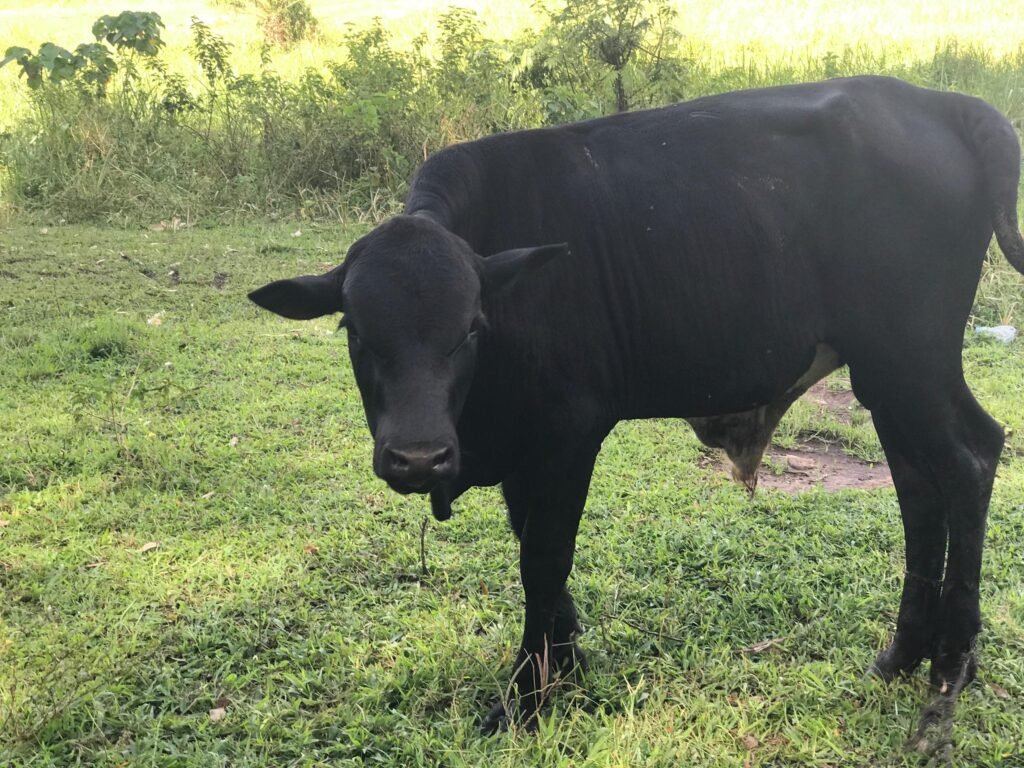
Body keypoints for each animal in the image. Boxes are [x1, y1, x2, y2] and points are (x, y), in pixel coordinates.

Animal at [249, 76, 1024, 758]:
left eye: (470, 327)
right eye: (354, 329)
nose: (418, 457)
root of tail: (944, 104)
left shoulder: (570, 433)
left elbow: (543, 559)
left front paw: (526, 697)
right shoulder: (525, 451)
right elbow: (534, 551)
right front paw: (566, 664)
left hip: (911, 359)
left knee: (970, 459)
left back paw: (949, 672)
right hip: (887, 376)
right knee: (919, 488)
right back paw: (903, 654)